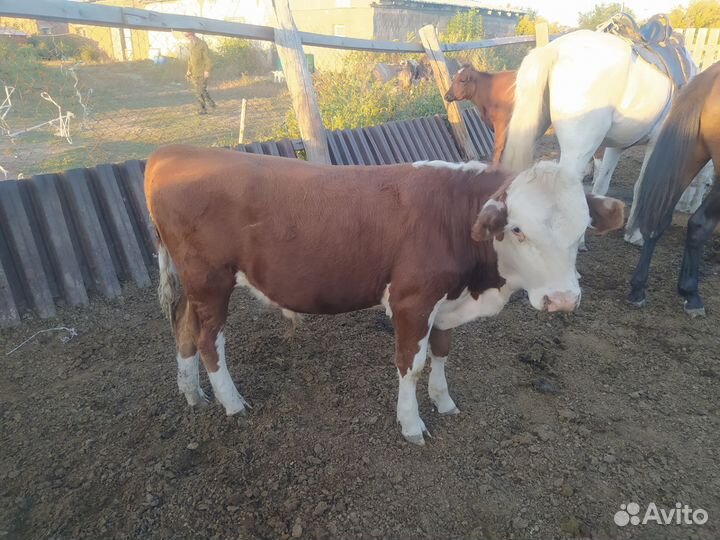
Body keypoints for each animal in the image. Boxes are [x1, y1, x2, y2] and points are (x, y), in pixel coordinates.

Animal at [145, 145, 625, 445]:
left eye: (583, 228)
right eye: (518, 229)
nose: (563, 300)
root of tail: (171, 153)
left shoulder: (443, 303)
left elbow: (442, 351)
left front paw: (444, 401)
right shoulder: (412, 300)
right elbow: (410, 365)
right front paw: (411, 423)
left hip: (195, 284)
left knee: (184, 328)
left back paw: (193, 394)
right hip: (211, 280)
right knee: (209, 340)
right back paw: (231, 403)